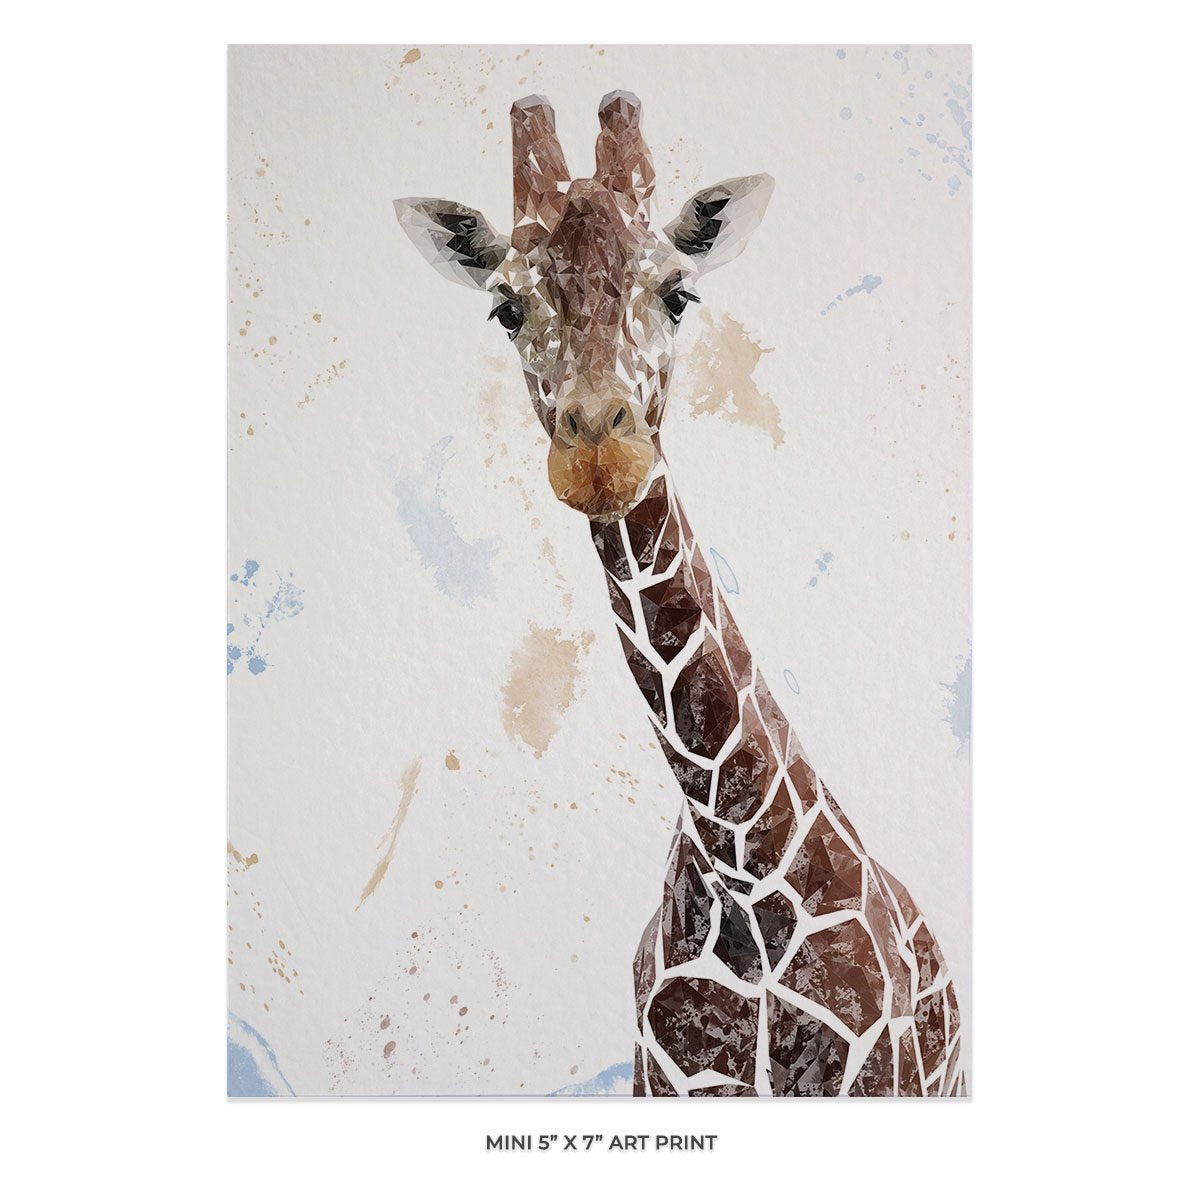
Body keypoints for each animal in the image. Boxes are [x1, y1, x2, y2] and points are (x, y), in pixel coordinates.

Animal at [394, 92, 966, 1097]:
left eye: (678, 293)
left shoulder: (879, 1078)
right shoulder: (661, 1081)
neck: (742, 868)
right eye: (506, 307)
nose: (598, 451)